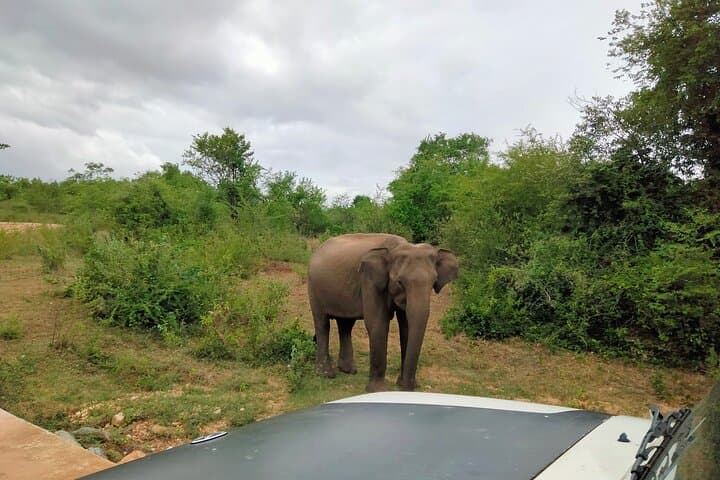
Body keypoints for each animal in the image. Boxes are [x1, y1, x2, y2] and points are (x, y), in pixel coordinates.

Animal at [307, 233, 459, 392]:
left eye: (433, 282)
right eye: (400, 282)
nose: (408, 387)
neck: (396, 247)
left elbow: (406, 327)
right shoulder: (369, 281)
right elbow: (377, 323)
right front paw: (378, 390)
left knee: (346, 325)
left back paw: (348, 370)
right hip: (313, 286)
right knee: (322, 323)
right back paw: (326, 374)